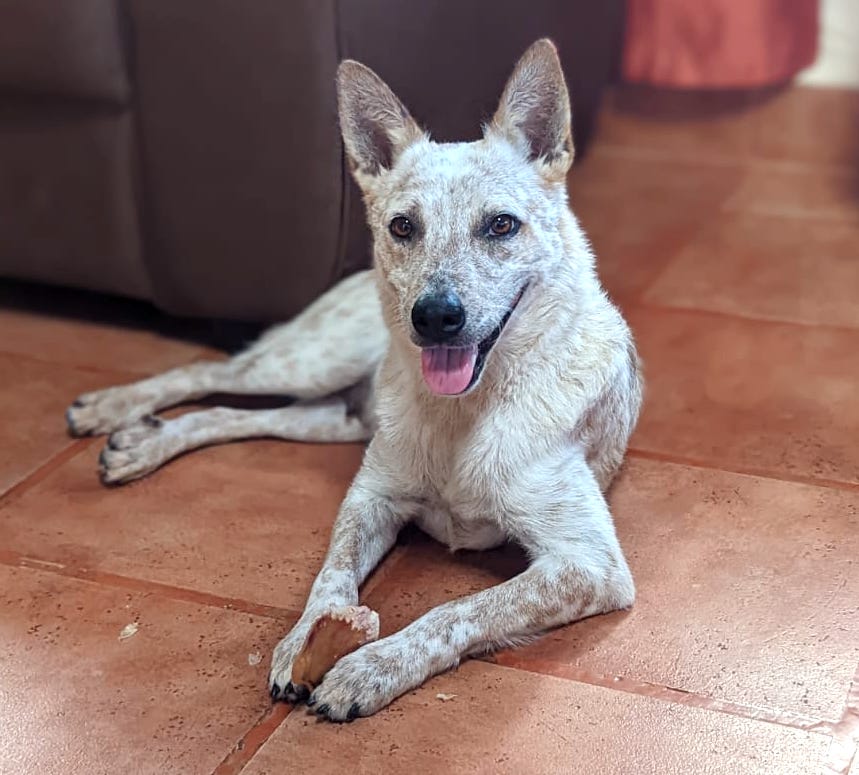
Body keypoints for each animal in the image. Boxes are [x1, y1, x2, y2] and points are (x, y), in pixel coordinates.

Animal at [67, 41, 640, 720]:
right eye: (402, 227)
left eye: (501, 225)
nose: (435, 317)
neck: (460, 415)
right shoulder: (371, 497)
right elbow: (331, 577)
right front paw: (303, 641)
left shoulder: (587, 564)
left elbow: (456, 611)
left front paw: (371, 667)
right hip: (314, 363)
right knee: (211, 372)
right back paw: (116, 411)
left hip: (332, 418)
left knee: (235, 413)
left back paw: (142, 441)